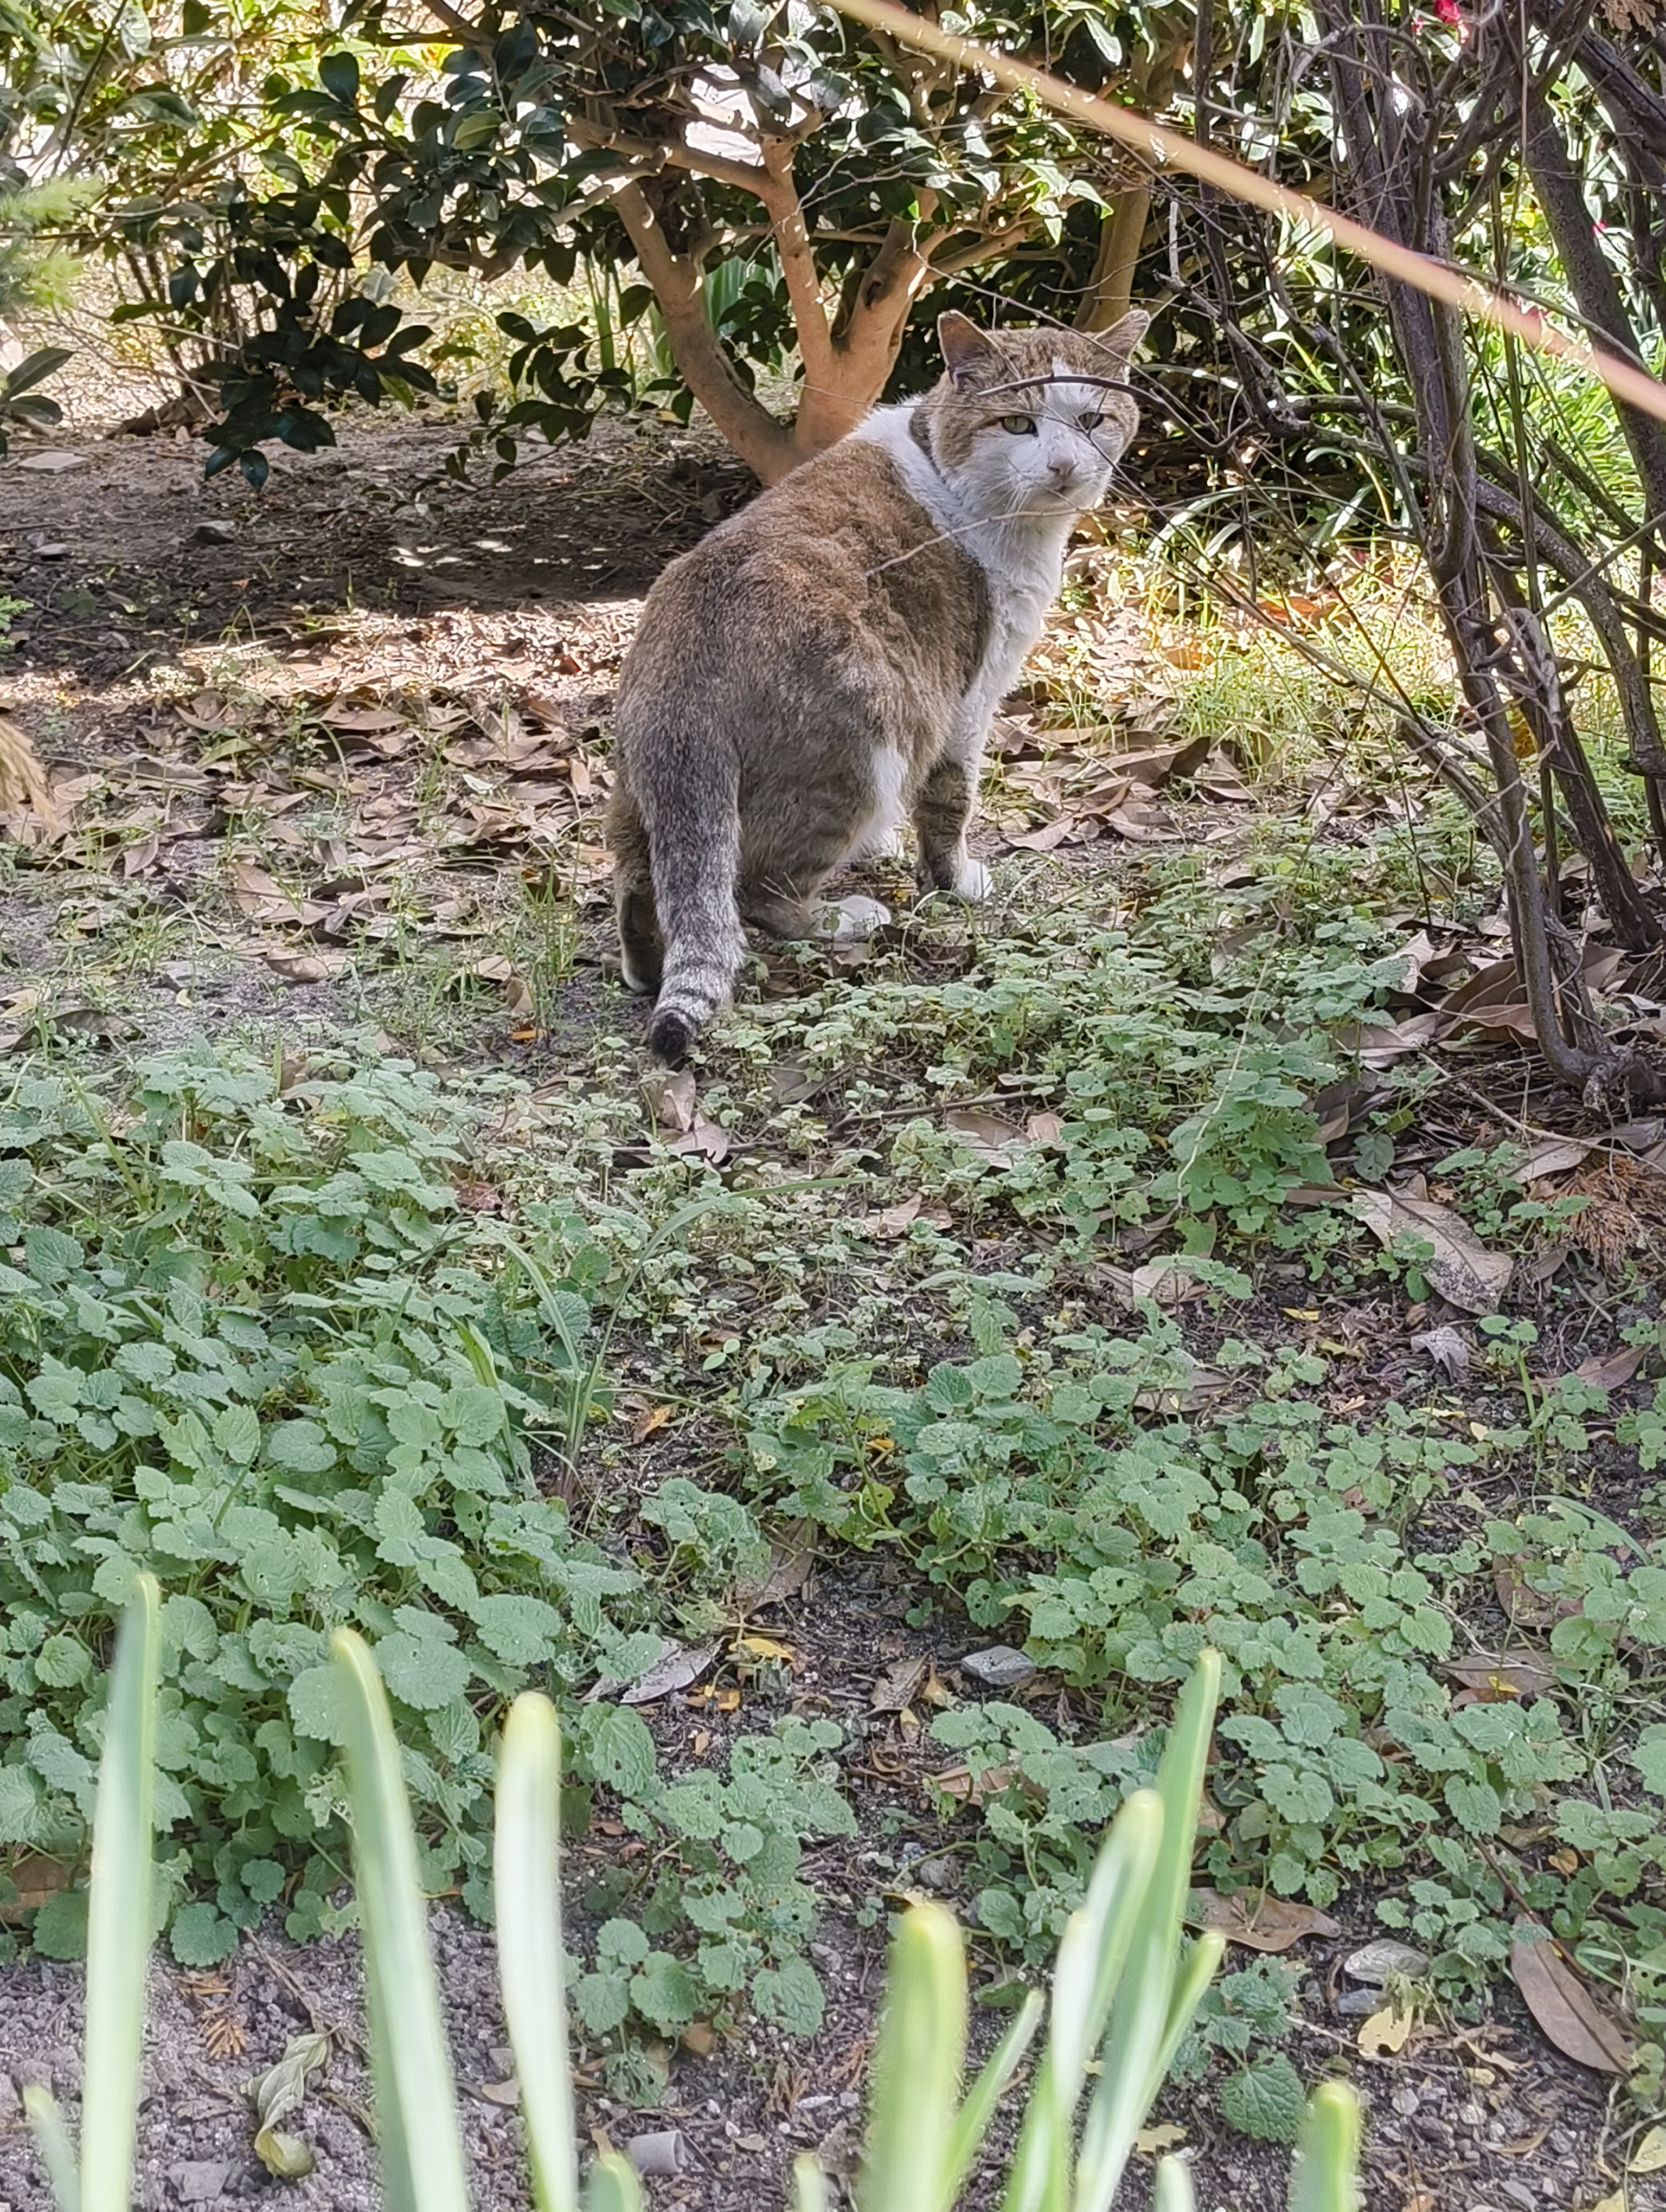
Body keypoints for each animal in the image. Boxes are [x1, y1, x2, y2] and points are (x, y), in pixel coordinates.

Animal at [606, 310, 1142, 1062]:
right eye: (1017, 425)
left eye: (1093, 420)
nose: (1064, 465)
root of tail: (690, 645)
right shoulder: (967, 700)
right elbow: (952, 805)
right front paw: (954, 882)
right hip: (865, 754)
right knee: (756, 892)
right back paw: (845, 918)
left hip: (642, 789)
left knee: (644, 886)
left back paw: (648, 966)